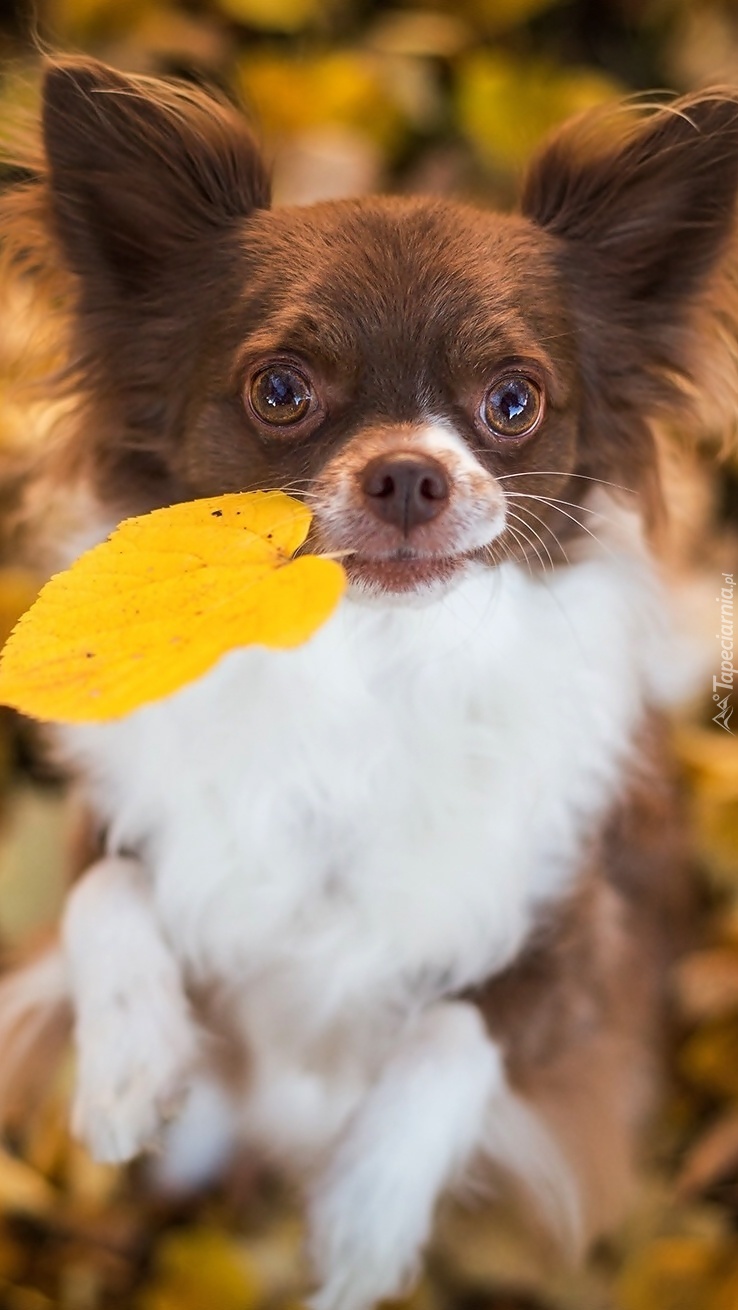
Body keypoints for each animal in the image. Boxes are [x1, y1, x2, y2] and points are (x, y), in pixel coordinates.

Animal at [0, 58, 734, 1310]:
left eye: (515, 400)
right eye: (281, 390)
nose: (408, 472)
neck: (369, 665)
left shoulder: (585, 939)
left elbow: (461, 1027)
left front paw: (364, 1220)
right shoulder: (125, 816)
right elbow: (105, 886)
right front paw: (130, 1061)